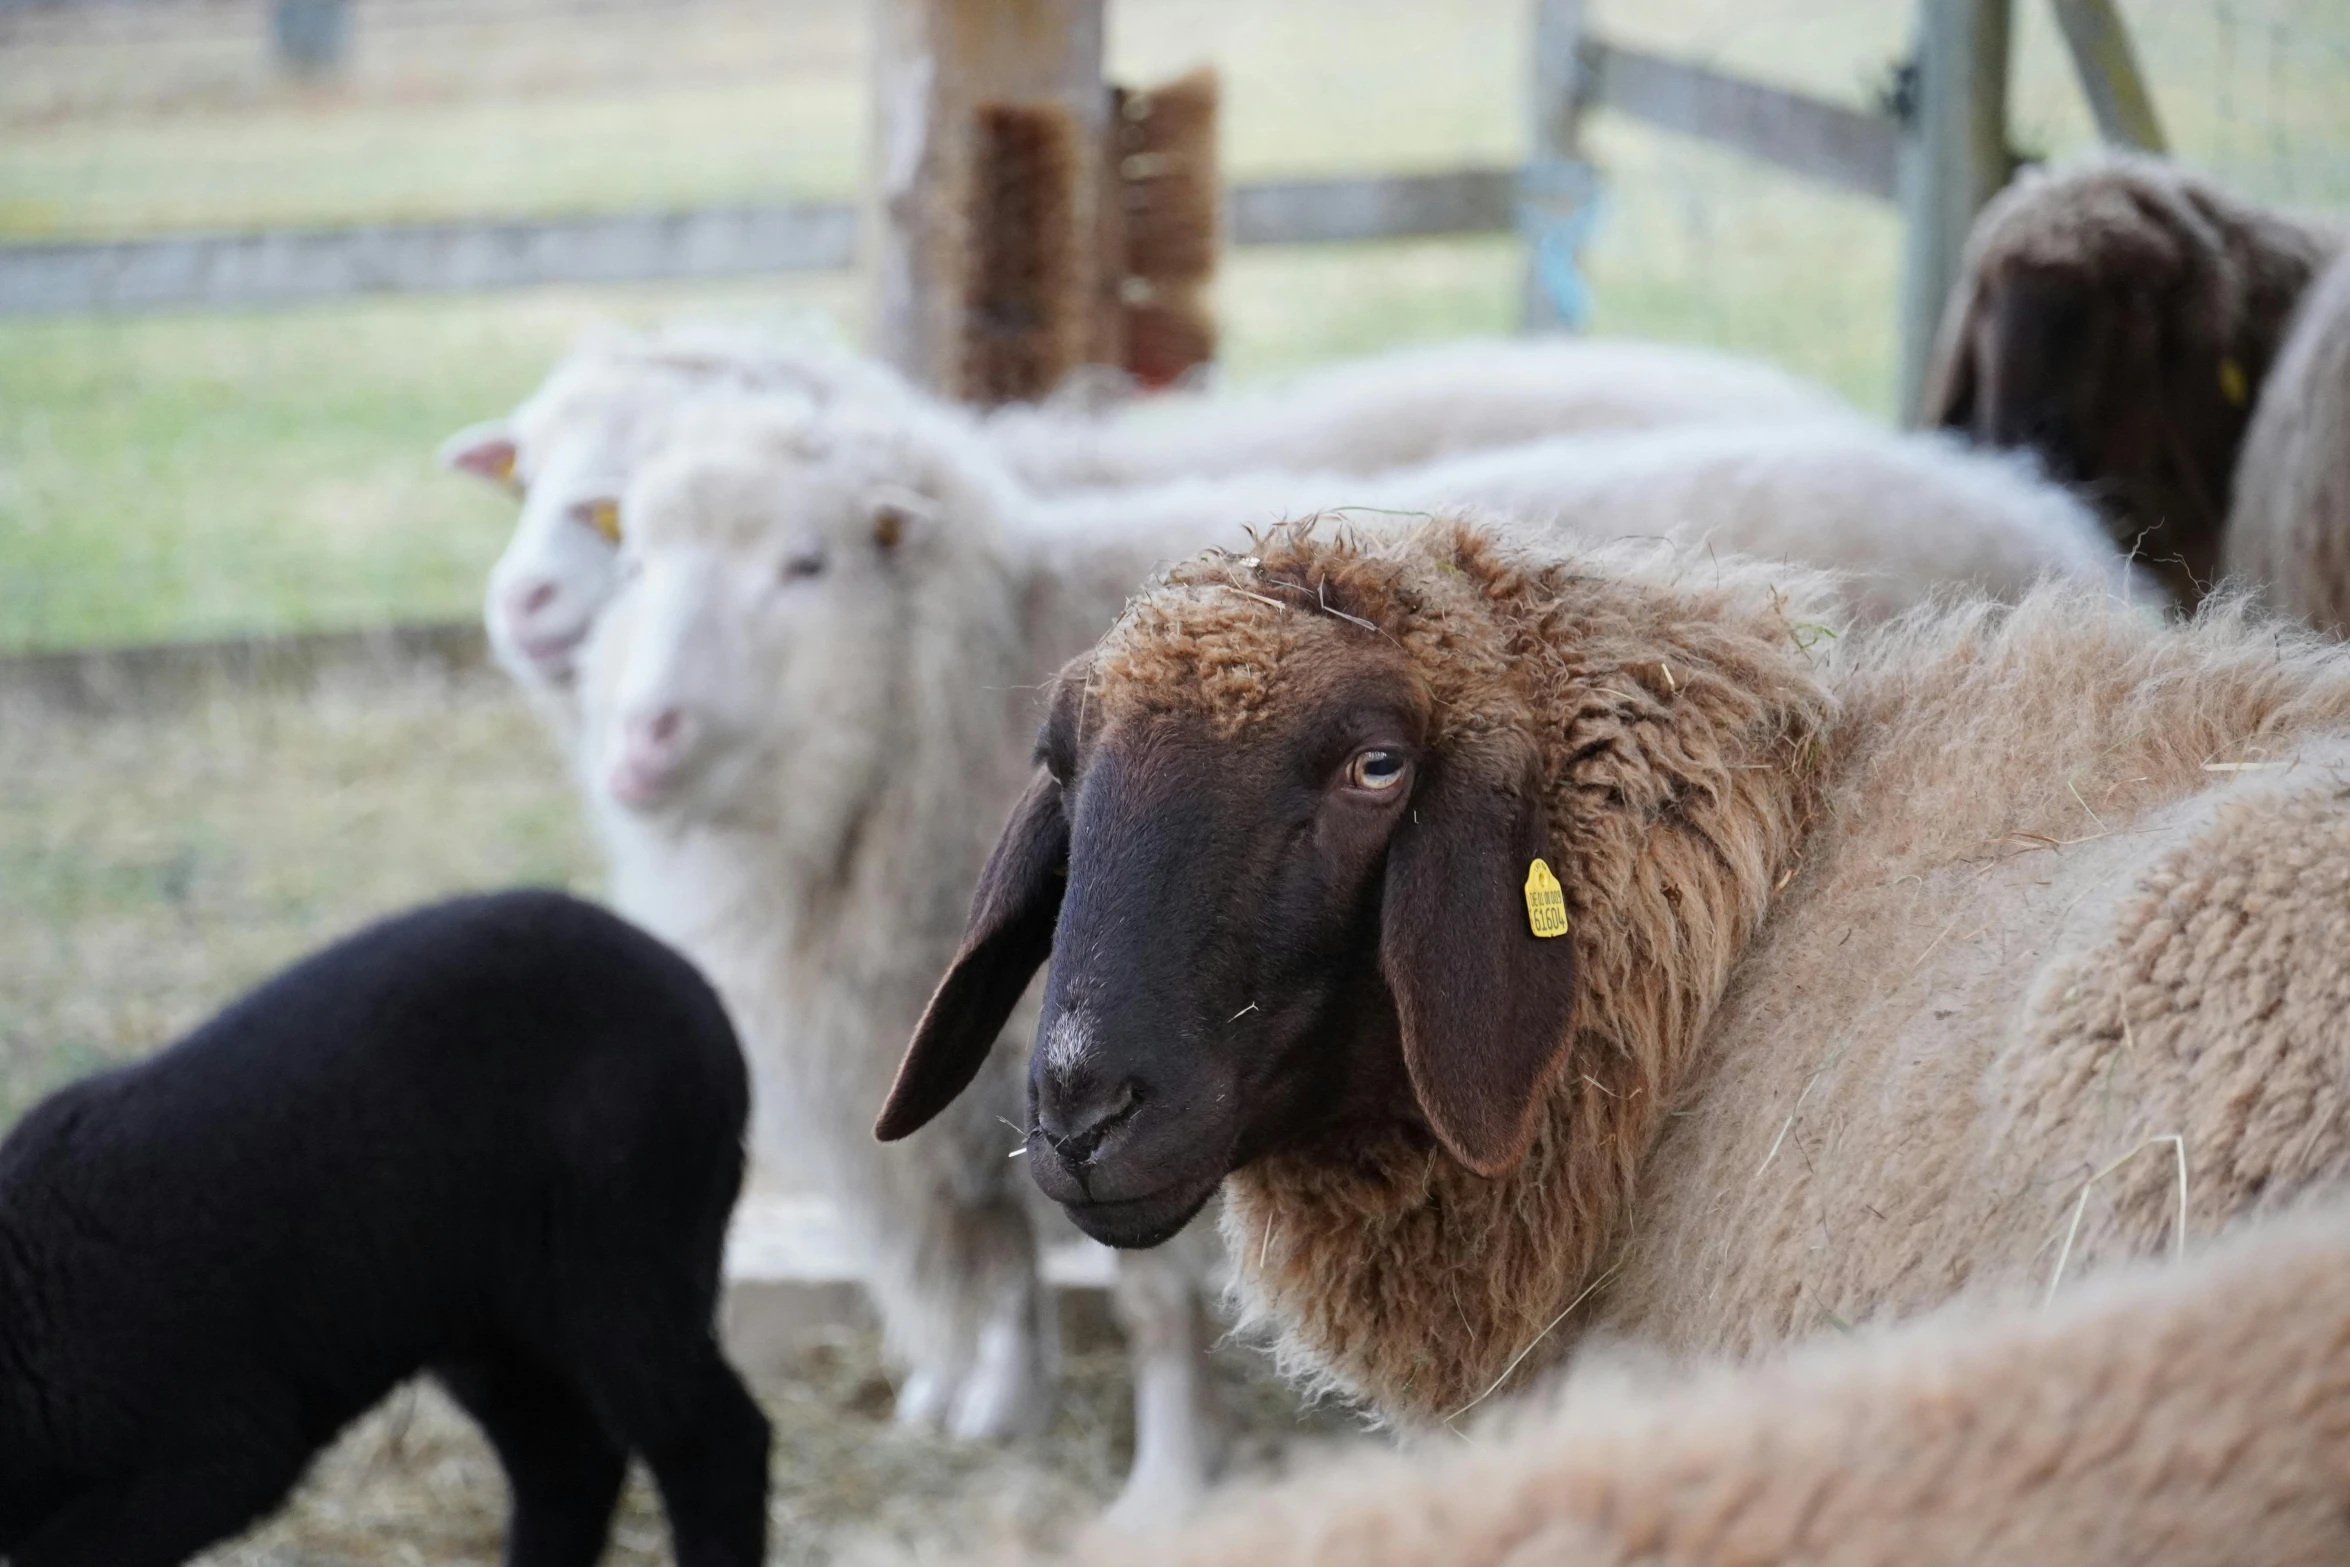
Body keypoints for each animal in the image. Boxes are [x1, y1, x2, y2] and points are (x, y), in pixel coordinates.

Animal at [0, 888, 770, 1559]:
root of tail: (698, 993)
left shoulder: (218, 1447)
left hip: (628, 1260)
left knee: (714, 1444)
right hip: (494, 1319)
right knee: (567, 1464)